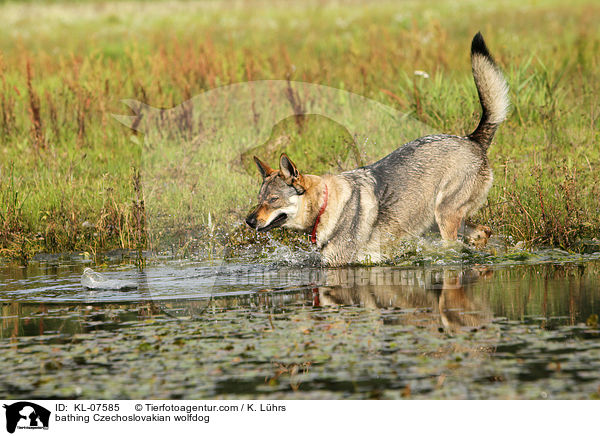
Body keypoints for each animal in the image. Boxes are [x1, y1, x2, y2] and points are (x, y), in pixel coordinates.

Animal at [246, 31, 508, 266]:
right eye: (259, 199)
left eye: (273, 199)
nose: (248, 221)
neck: (325, 206)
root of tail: (471, 138)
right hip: (438, 221)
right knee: (483, 232)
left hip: (444, 219)